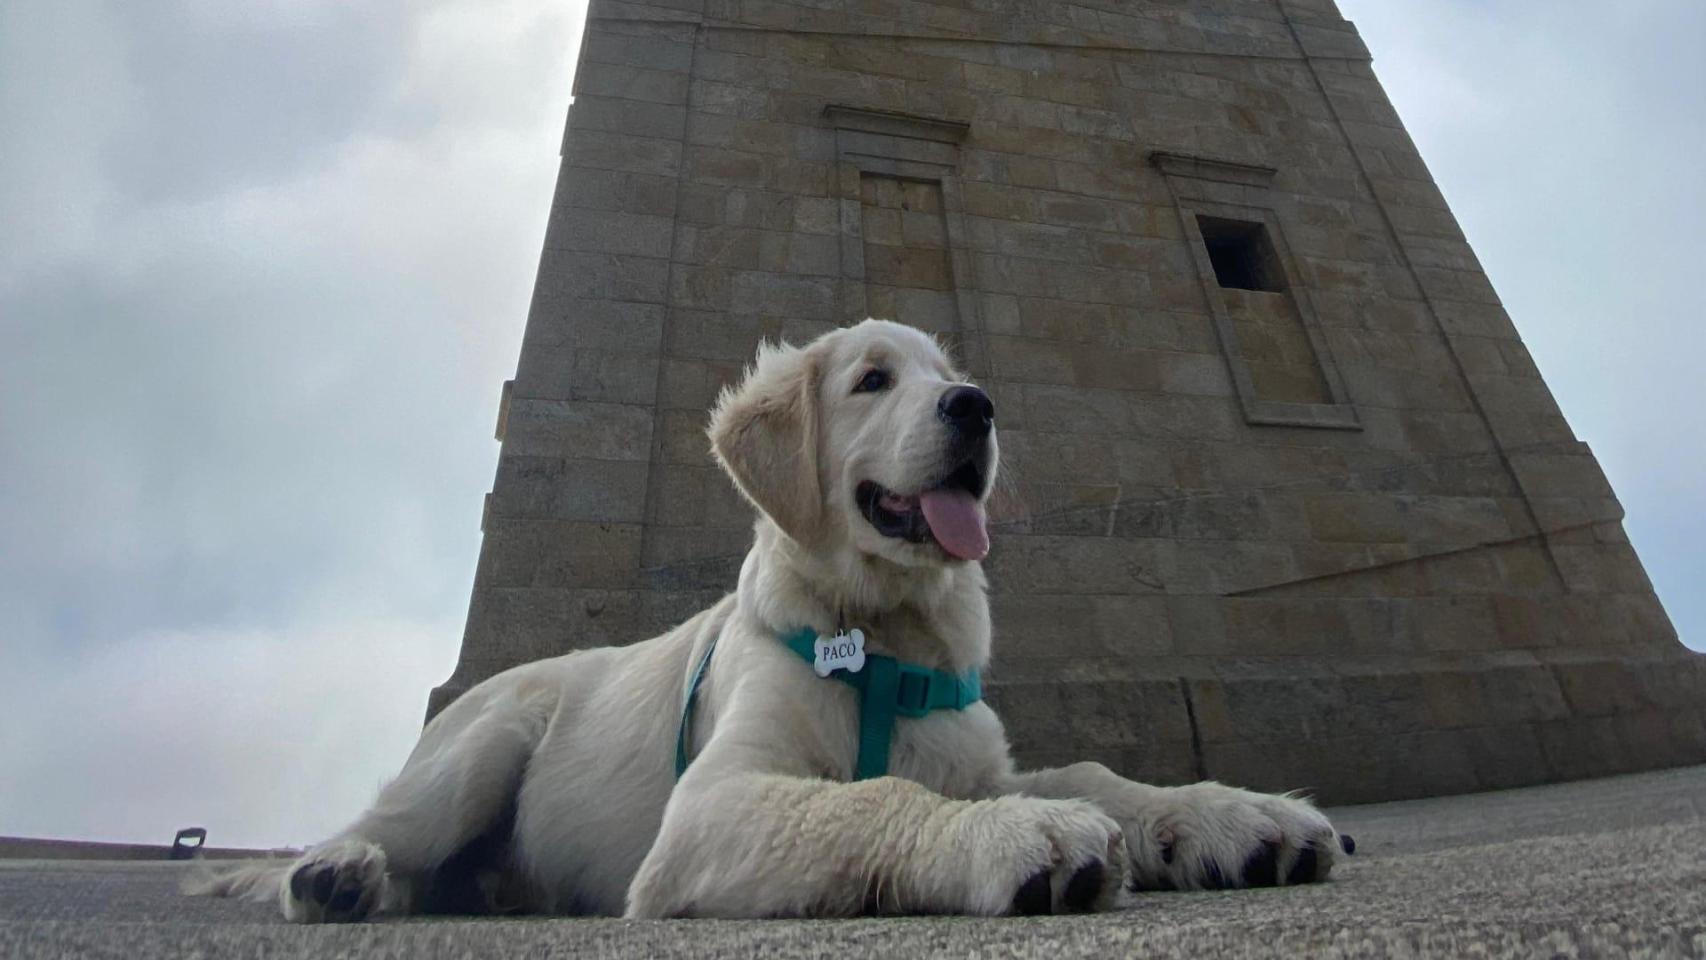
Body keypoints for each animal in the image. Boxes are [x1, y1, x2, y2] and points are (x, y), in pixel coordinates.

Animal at [193, 318, 1337, 920]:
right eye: (873, 380)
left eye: (952, 377)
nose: (977, 408)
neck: (884, 639)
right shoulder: (707, 807)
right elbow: (870, 799)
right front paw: (1018, 837)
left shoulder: (974, 751)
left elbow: (1101, 777)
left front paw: (1238, 818)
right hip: (474, 754)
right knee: (379, 835)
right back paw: (336, 877)